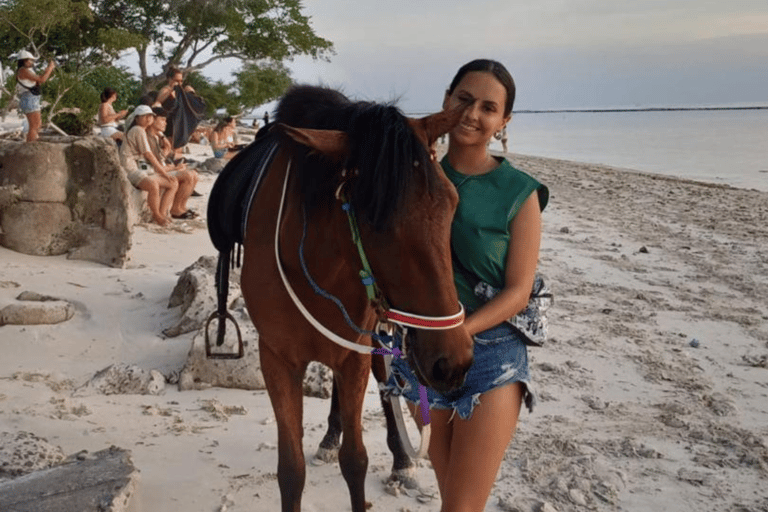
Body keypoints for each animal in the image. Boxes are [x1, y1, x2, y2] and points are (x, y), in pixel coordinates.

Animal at [238, 86, 474, 510]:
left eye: (452, 204)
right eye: (374, 221)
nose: (453, 363)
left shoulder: (355, 355)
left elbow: (356, 460)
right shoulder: (276, 360)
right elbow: (291, 470)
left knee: (383, 379)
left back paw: (400, 460)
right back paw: (331, 438)